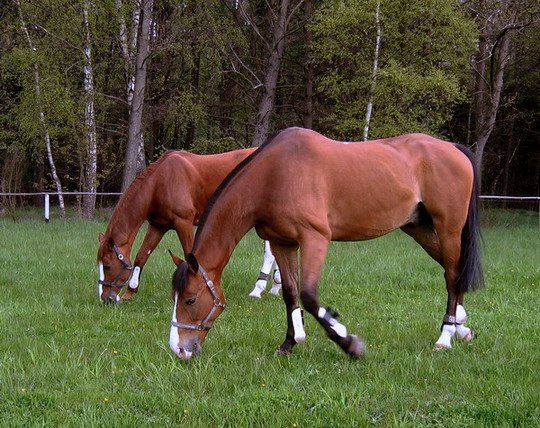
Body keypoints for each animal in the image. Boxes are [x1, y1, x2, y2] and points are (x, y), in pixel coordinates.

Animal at [97, 149, 258, 302]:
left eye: (107, 266)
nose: (105, 299)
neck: (160, 182)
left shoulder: (184, 223)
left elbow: (190, 256)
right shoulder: (158, 227)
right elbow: (141, 256)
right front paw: (129, 293)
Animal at [170, 126, 486, 358]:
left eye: (190, 299)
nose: (179, 349)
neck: (274, 175)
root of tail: (453, 148)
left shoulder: (315, 239)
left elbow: (309, 296)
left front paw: (349, 343)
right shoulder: (282, 242)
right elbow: (290, 293)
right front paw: (290, 343)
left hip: (448, 230)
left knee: (453, 275)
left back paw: (446, 336)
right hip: (419, 229)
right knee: (452, 273)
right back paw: (461, 327)